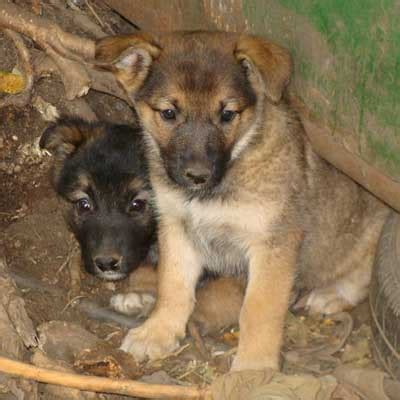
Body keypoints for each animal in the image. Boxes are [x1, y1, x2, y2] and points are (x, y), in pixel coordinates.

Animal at [95, 32, 390, 372]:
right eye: (169, 113)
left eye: (227, 114)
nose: (197, 175)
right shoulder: (177, 227)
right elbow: (173, 287)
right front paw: (157, 332)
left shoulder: (273, 244)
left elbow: (259, 310)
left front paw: (253, 367)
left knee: (361, 274)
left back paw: (330, 294)